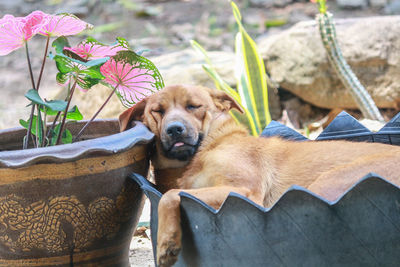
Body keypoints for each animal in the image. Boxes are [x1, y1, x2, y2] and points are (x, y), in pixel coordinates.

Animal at [119, 85, 400, 267]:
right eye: (158, 110)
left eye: (193, 106)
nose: (174, 130)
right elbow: (171, 192)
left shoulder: (243, 190)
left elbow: (171, 195)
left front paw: (166, 242)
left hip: (328, 184)